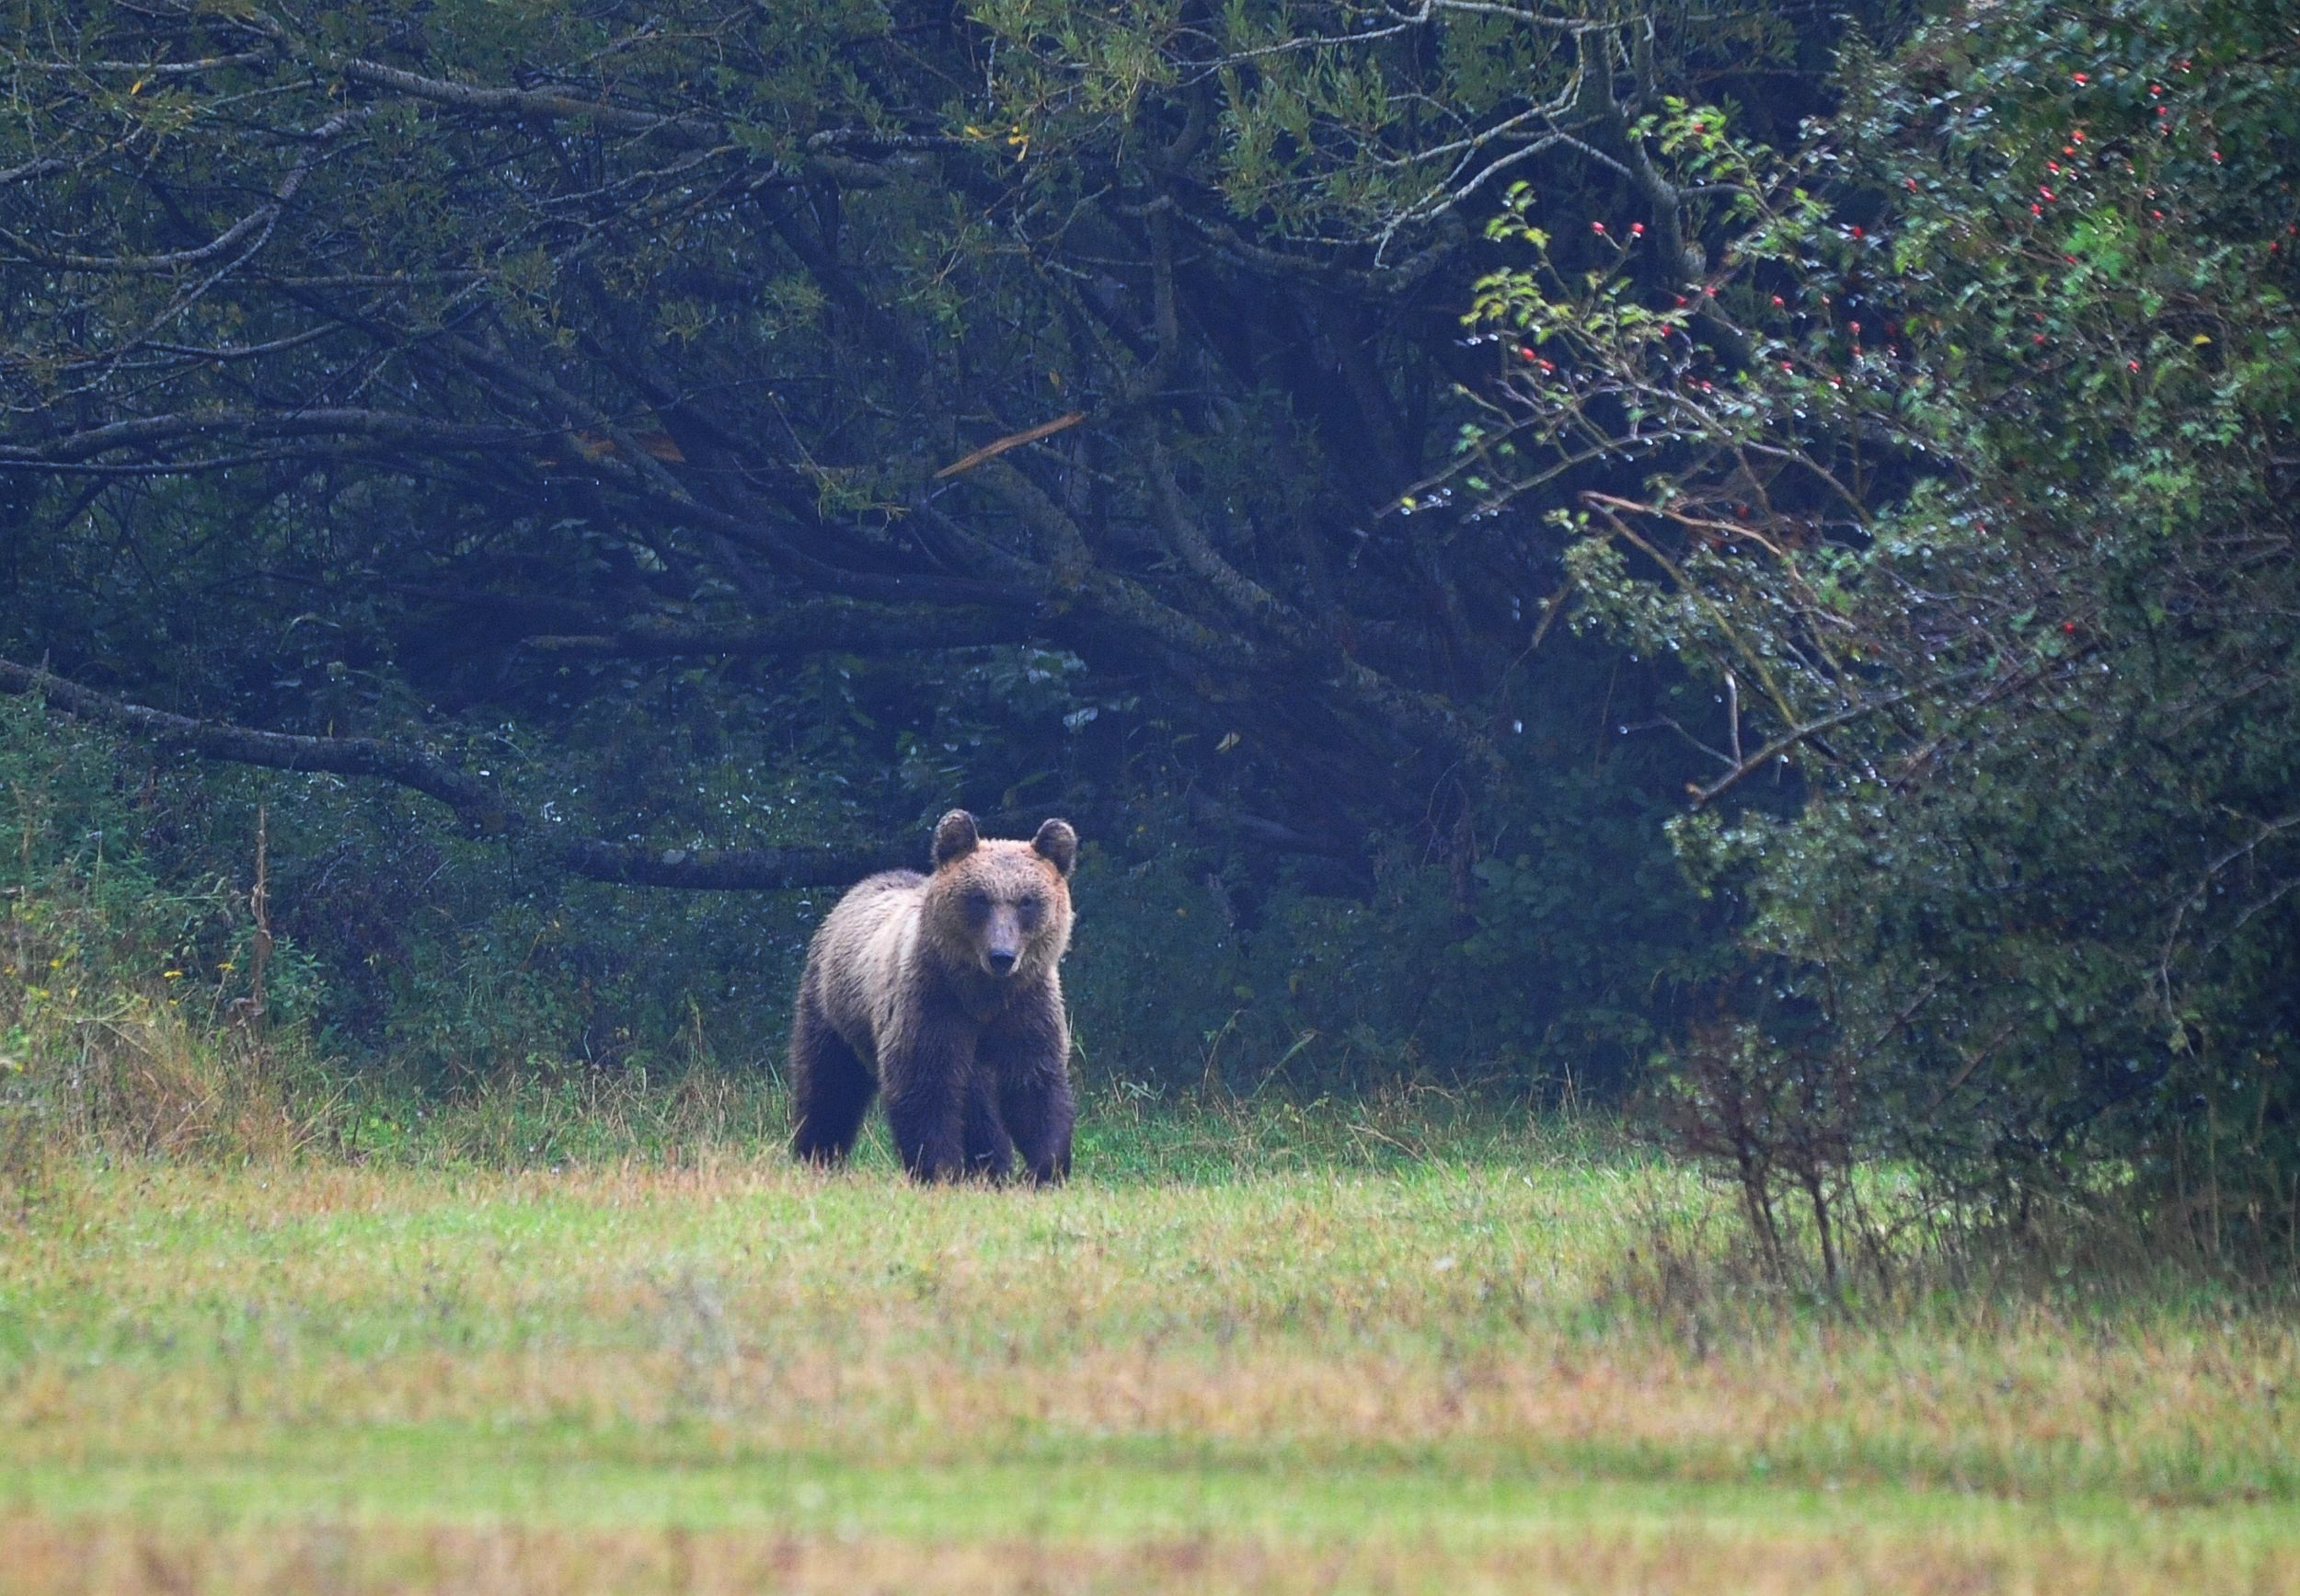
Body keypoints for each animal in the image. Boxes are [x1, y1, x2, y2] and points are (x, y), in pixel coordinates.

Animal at [788, 809, 1079, 1183]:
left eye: (1027, 901)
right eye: (980, 898)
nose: (1001, 956)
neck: (983, 995)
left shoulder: (1025, 1008)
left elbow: (1035, 1085)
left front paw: (1044, 1170)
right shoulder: (932, 1004)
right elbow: (924, 1087)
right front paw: (939, 1170)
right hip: (833, 1010)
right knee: (828, 1085)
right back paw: (817, 1153)